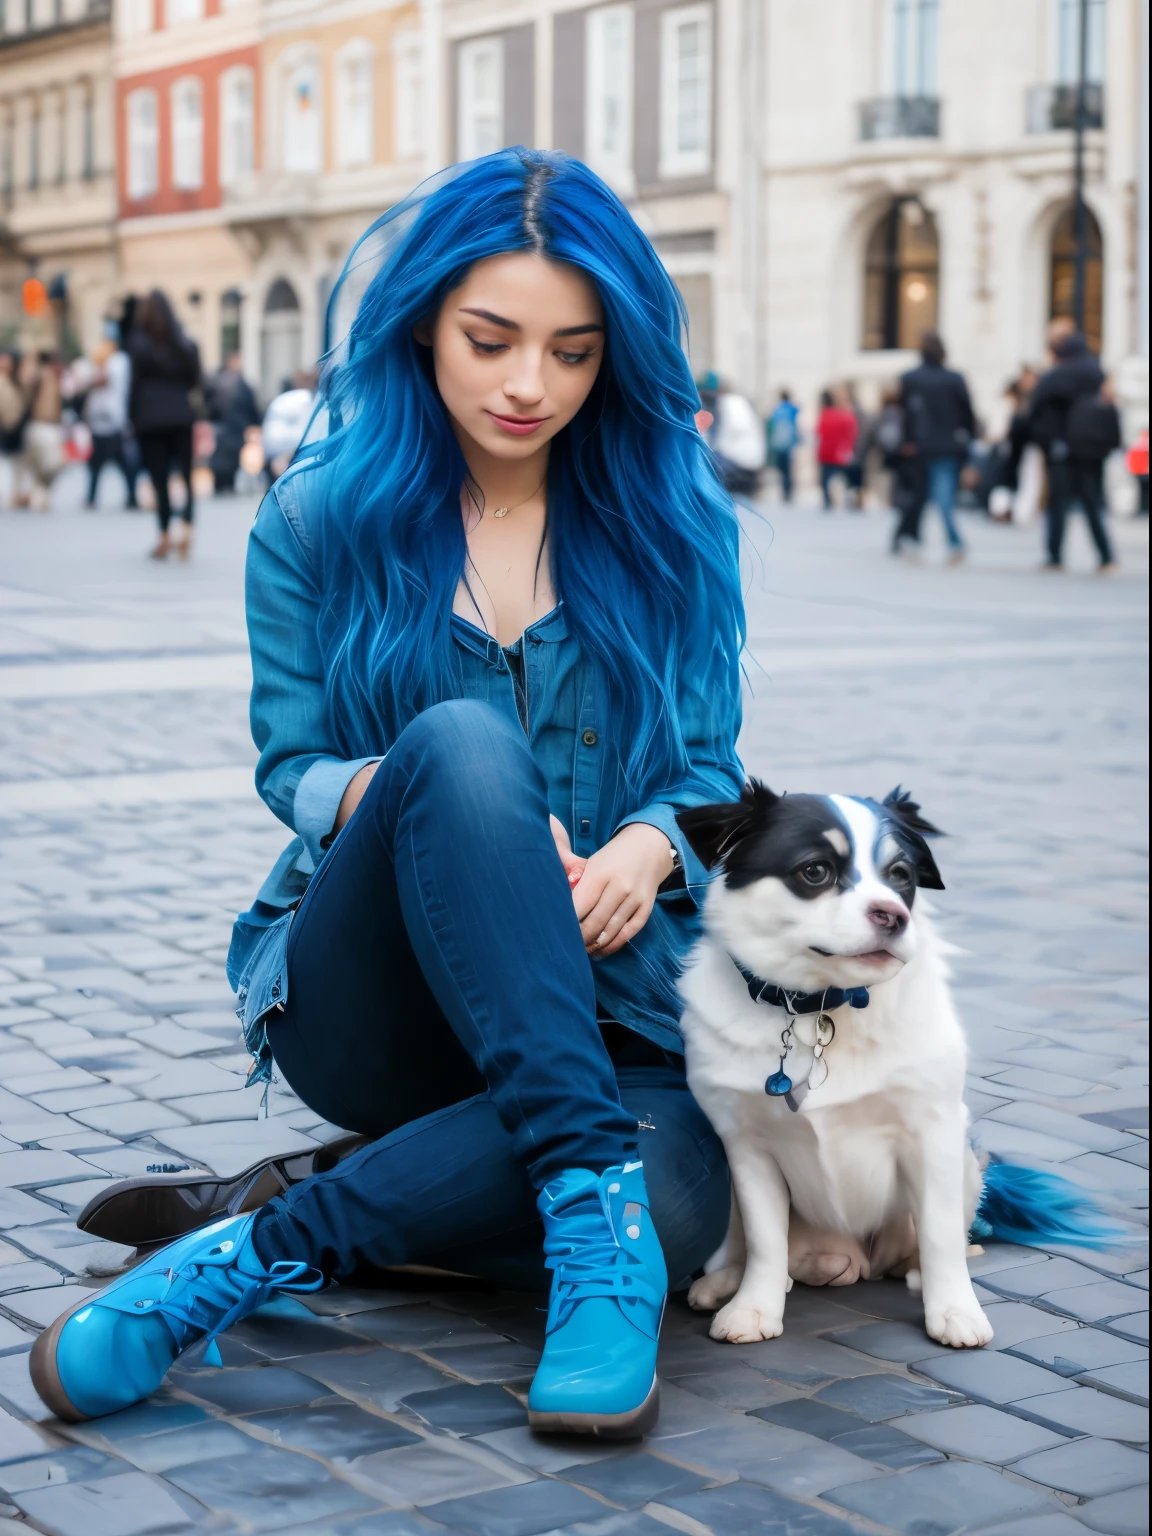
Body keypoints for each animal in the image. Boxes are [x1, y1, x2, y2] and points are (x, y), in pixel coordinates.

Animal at [681, 786, 995, 1351]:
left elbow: (940, 1233)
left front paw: (955, 1310)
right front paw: (754, 1307)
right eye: (815, 871)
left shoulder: (933, 1128)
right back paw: (727, 1282)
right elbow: (764, 1238)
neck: (822, 1006)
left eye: (901, 874)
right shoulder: (746, 1145)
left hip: (965, 1165)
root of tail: (853, 1257)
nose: (894, 916)